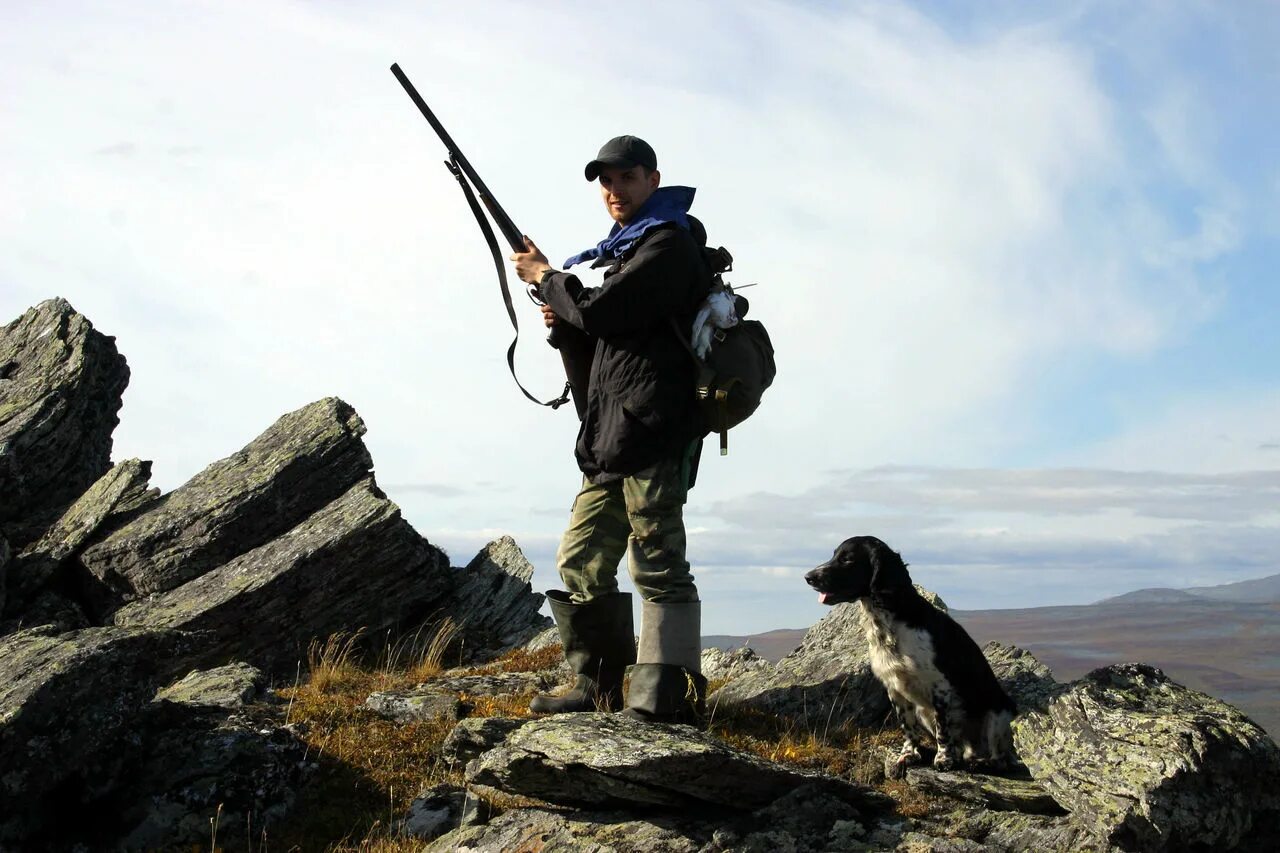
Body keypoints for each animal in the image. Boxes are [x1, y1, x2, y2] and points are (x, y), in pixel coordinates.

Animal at [803, 535, 1013, 773]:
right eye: (834, 555)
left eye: (847, 559)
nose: (808, 577)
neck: (890, 623)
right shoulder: (894, 687)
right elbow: (907, 726)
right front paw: (908, 755)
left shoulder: (939, 685)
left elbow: (943, 729)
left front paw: (943, 759)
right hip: (925, 712)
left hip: (998, 715)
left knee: (1000, 758)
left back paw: (983, 762)